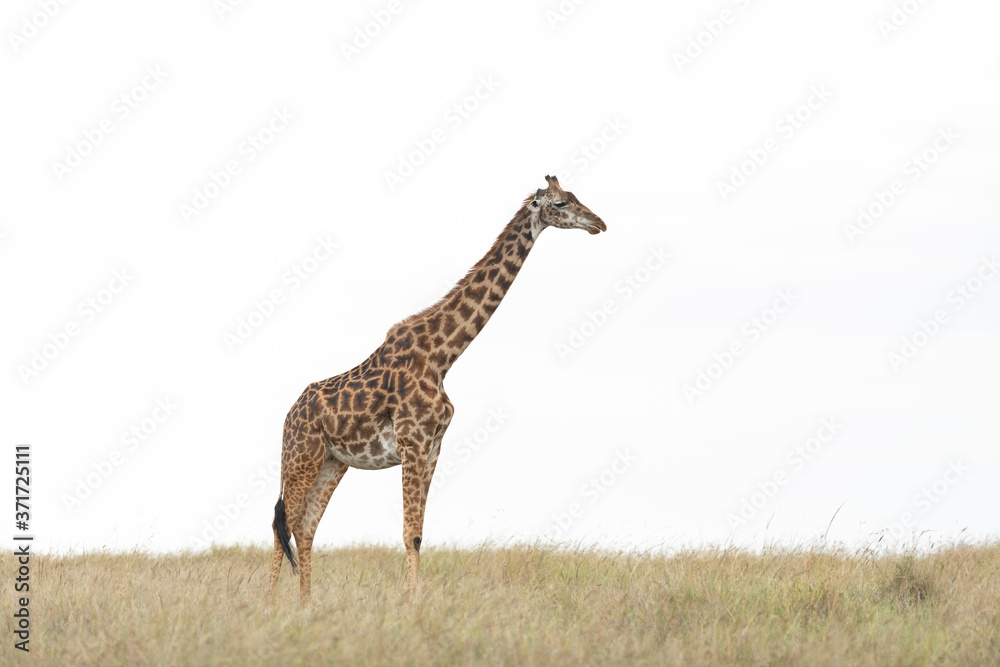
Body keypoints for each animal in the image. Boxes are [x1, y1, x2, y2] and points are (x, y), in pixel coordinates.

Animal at [267, 175, 607, 604]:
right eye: (560, 203)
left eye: (577, 197)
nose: (599, 223)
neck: (443, 356)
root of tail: (288, 415)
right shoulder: (413, 443)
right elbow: (410, 533)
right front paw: (412, 605)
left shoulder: (433, 448)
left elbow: (420, 534)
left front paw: (415, 600)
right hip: (300, 457)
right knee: (281, 524)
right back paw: (269, 604)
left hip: (332, 462)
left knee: (305, 527)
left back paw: (306, 605)